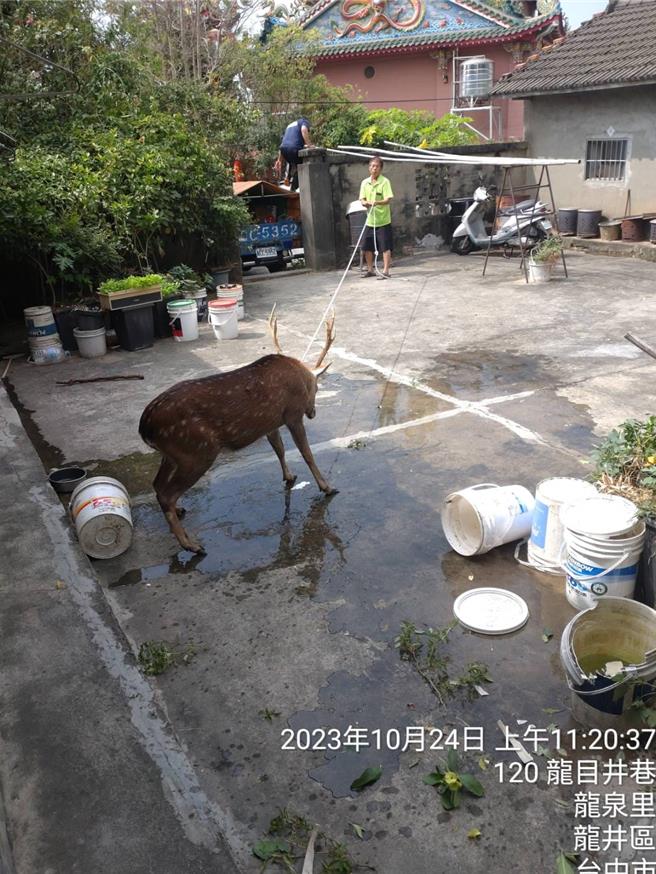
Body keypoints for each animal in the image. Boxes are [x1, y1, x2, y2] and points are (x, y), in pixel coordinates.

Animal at [138, 308, 337, 554]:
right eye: (317, 388)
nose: (313, 413)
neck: (300, 376)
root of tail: (144, 426)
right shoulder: (292, 414)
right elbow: (307, 453)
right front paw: (327, 487)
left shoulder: (271, 423)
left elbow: (279, 449)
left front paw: (289, 476)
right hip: (196, 451)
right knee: (167, 493)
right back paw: (191, 544)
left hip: (172, 454)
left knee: (157, 485)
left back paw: (180, 513)